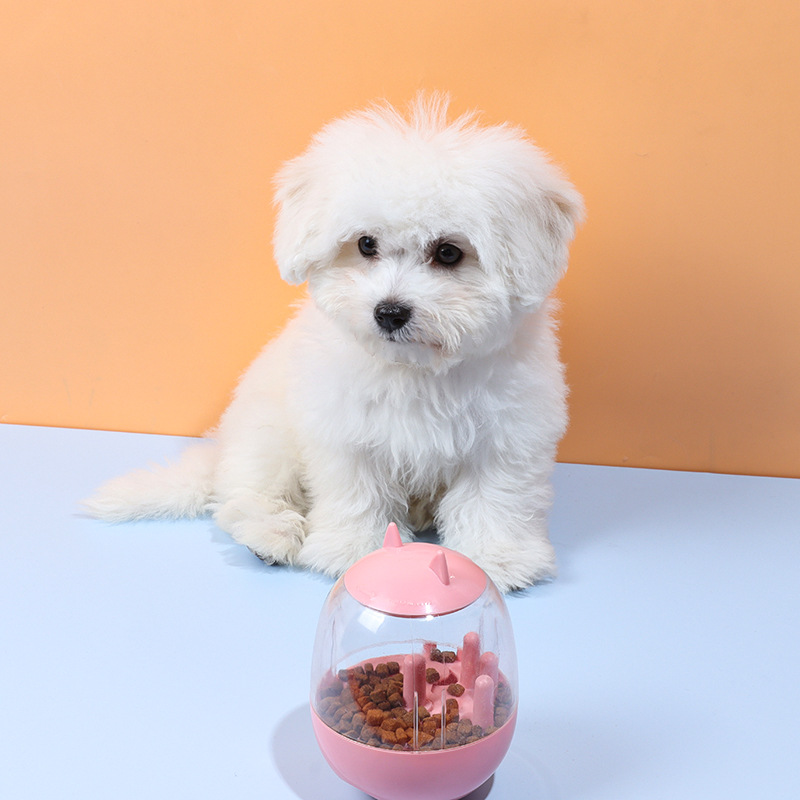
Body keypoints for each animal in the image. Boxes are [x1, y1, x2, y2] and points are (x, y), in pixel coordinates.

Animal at [84, 95, 583, 592]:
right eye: (366, 244)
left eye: (448, 253)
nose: (389, 312)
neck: (415, 369)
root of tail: (220, 449)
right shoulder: (345, 431)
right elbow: (357, 491)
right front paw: (356, 550)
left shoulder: (507, 435)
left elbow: (494, 497)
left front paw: (497, 558)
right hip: (267, 431)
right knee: (243, 496)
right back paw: (270, 533)